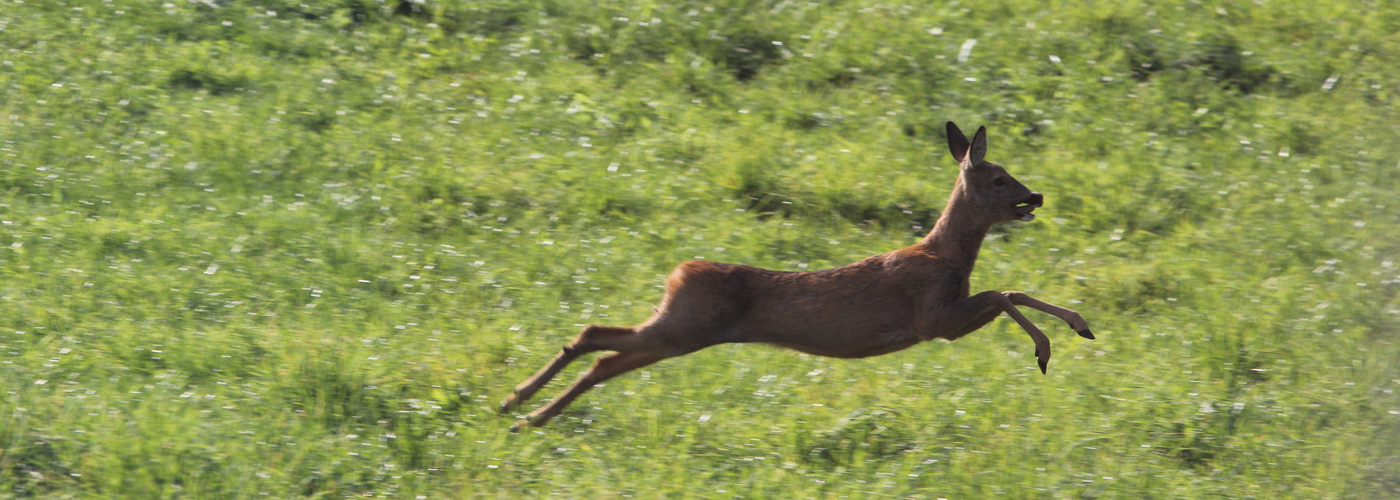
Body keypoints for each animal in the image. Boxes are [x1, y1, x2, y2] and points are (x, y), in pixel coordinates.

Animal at [501, 120, 1092, 428]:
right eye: (999, 178)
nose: (1037, 196)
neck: (944, 256)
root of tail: (679, 272)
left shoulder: (940, 318)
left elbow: (1008, 288)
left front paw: (1076, 328)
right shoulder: (931, 319)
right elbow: (1002, 290)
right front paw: (1051, 345)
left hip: (684, 331)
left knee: (601, 352)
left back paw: (522, 410)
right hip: (685, 325)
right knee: (596, 340)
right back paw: (521, 406)